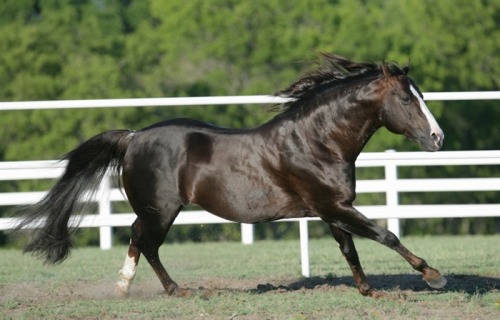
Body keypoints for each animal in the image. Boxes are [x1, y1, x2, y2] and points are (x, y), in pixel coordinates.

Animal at [18, 54, 446, 298]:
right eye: (406, 98)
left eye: (421, 95)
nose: (438, 138)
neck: (316, 141)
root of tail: (134, 137)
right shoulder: (333, 206)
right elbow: (385, 235)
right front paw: (433, 276)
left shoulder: (331, 208)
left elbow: (350, 249)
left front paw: (369, 291)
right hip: (162, 210)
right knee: (147, 242)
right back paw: (176, 291)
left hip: (153, 210)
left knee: (137, 238)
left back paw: (123, 287)